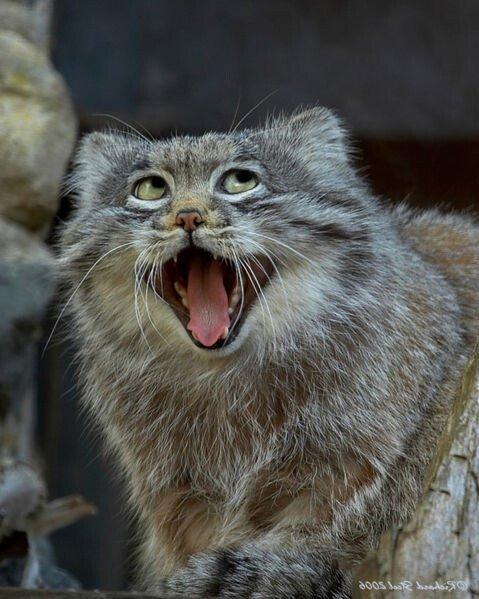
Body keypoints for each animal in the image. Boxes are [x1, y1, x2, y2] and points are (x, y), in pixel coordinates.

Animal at [60, 109, 479, 599]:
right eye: (150, 188)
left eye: (240, 181)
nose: (188, 216)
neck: (223, 381)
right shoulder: (182, 499)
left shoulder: (353, 468)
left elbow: (331, 533)